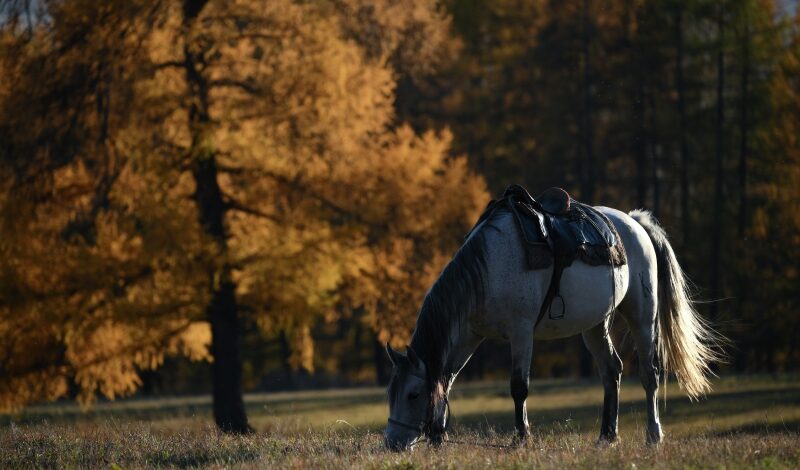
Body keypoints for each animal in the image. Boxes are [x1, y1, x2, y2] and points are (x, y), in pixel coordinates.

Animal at [384, 204, 720, 450]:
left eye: (413, 394)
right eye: (391, 392)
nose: (392, 443)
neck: (487, 269)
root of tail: (635, 222)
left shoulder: (520, 333)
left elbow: (518, 387)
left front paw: (522, 438)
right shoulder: (469, 334)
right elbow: (446, 380)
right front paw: (438, 437)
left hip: (642, 316)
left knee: (649, 375)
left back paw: (653, 435)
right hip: (595, 325)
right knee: (611, 371)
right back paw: (607, 436)